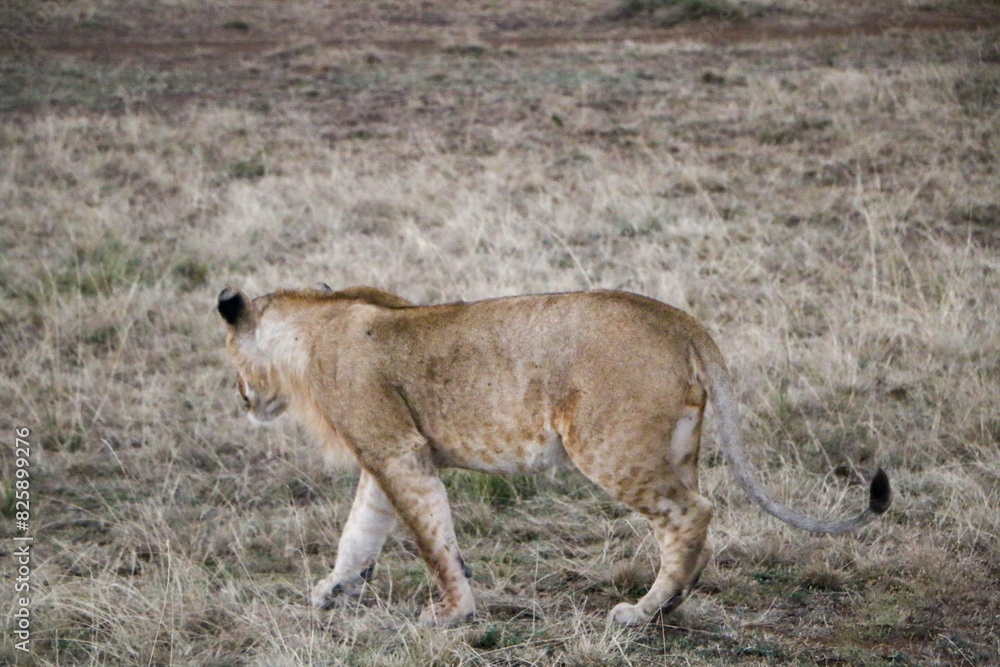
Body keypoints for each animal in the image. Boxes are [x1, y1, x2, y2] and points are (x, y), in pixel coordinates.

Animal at [217, 284, 890, 627]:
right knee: (692, 523)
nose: (240, 397)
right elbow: (361, 531)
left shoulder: (398, 450)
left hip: (607, 445)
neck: (309, 328)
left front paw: (453, 614)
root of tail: (677, 319)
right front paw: (334, 590)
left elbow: (433, 540)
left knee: (691, 513)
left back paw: (642, 612)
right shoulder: (388, 456)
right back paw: (672, 602)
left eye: (229, 356)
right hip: (676, 446)